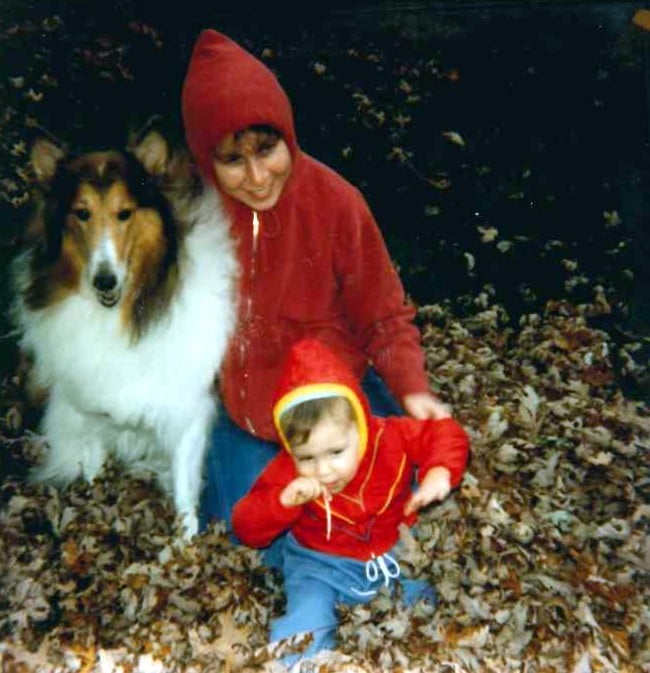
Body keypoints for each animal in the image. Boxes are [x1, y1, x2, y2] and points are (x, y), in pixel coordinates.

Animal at [9, 129, 238, 538]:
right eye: (82, 213)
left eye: (125, 213)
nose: (105, 281)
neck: (123, 315)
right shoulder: (88, 405)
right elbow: (92, 464)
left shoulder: (189, 408)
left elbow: (184, 486)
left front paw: (185, 540)